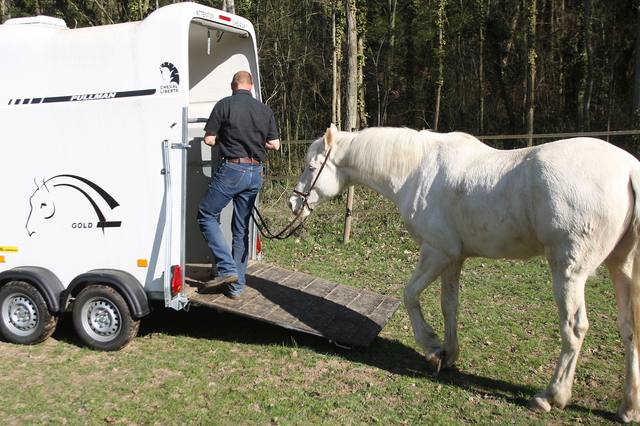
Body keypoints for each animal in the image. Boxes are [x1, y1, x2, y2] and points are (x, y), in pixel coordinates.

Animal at [288, 124, 640, 422]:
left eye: (312, 167)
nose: (294, 203)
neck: (416, 171)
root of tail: (628, 169)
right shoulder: (454, 259)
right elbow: (449, 306)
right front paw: (448, 354)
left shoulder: (436, 252)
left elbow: (410, 295)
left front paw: (431, 346)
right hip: (621, 268)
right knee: (629, 329)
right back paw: (628, 407)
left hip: (568, 272)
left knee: (574, 329)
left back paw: (551, 396)